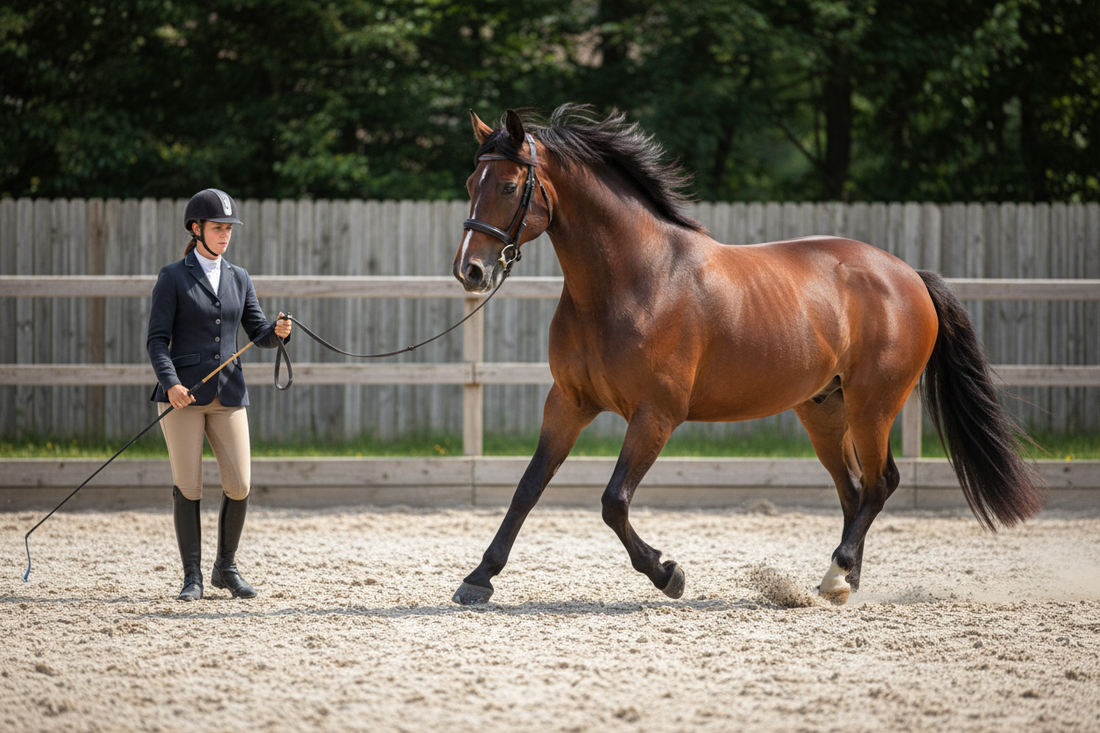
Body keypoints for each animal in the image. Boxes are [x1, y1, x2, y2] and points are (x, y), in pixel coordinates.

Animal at [450, 103, 1043, 606]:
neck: (633, 281)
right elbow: (528, 487)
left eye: (508, 185)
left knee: (881, 484)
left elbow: (614, 500)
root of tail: (908, 276)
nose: (471, 271)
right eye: (471, 184)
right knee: (854, 490)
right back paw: (845, 582)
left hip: (874, 405)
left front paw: (668, 574)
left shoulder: (656, 415)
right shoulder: (569, 403)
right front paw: (478, 580)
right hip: (824, 409)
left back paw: (835, 577)